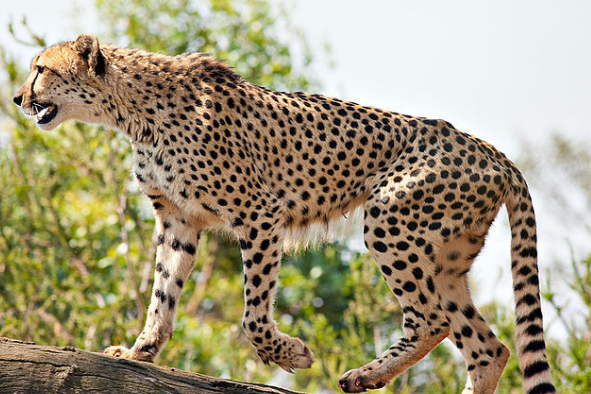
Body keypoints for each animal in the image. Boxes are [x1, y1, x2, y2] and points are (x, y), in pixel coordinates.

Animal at [13, 35, 556, 392]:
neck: (133, 111)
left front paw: (289, 354)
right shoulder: (178, 220)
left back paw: (364, 374)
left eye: (41, 68)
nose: (18, 97)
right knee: (488, 347)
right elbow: (161, 296)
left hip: (390, 222)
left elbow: (253, 313)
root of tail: (491, 150)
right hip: (443, 258)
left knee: (432, 320)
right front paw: (139, 351)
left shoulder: (258, 214)